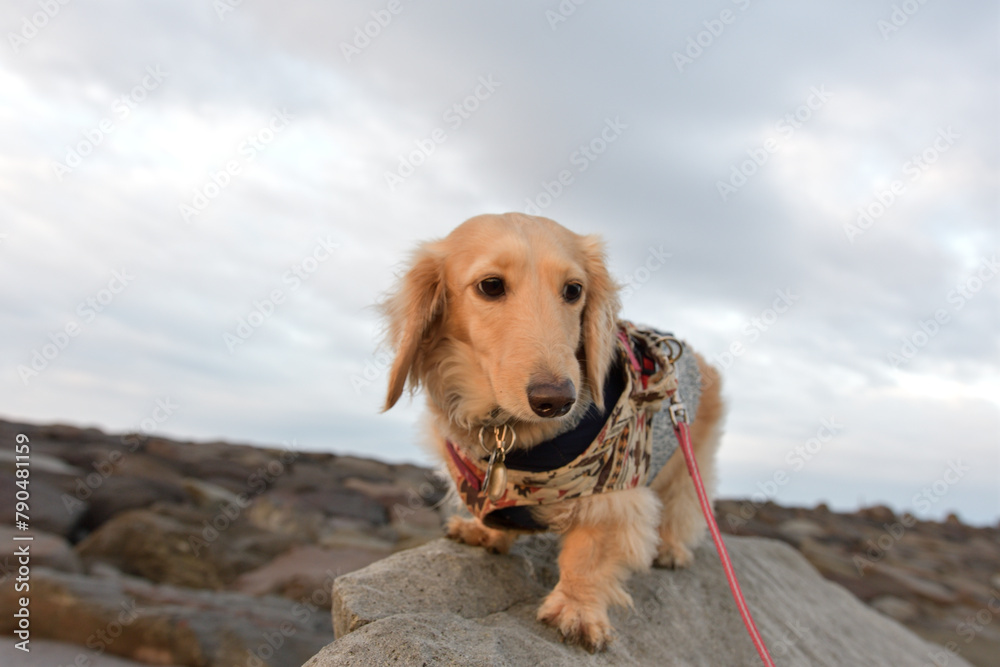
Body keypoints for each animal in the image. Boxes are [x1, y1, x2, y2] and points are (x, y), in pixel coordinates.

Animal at [378, 214, 724, 652]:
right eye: (491, 285)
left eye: (573, 290)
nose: (556, 400)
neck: (509, 432)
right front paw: (483, 532)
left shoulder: (614, 494)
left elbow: (589, 555)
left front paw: (576, 610)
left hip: (688, 457)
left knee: (683, 505)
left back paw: (672, 548)